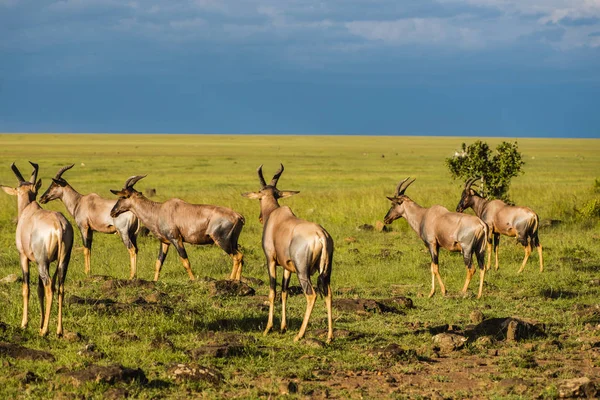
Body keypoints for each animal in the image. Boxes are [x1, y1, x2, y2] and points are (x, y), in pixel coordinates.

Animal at [0, 162, 73, 334]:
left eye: (17, 189)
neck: (29, 209)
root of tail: (59, 226)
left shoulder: (23, 256)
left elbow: (26, 288)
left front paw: (24, 323)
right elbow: (39, 290)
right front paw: (40, 322)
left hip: (42, 262)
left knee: (49, 287)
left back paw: (44, 331)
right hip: (63, 261)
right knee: (59, 286)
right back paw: (59, 330)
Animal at [109, 175, 245, 282]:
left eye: (123, 197)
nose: (112, 212)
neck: (159, 210)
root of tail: (238, 216)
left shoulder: (176, 239)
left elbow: (185, 261)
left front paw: (193, 280)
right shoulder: (165, 242)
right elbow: (158, 263)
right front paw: (155, 281)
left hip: (221, 240)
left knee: (237, 257)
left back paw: (231, 280)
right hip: (233, 241)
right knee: (241, 257)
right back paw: (238, 281)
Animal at [240, 164, 332, 342]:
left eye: (260, 195)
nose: (260, 218)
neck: (276, 217)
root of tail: (321, 235)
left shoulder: (270, 260)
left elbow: (272, 292)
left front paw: (268, 328)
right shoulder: (287, 267)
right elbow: (284, 292)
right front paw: (283, 327)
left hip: (303, 272)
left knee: (311, 295)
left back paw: (299, 335)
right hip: (326, 271)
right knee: (328, 294)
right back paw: (330, 337)